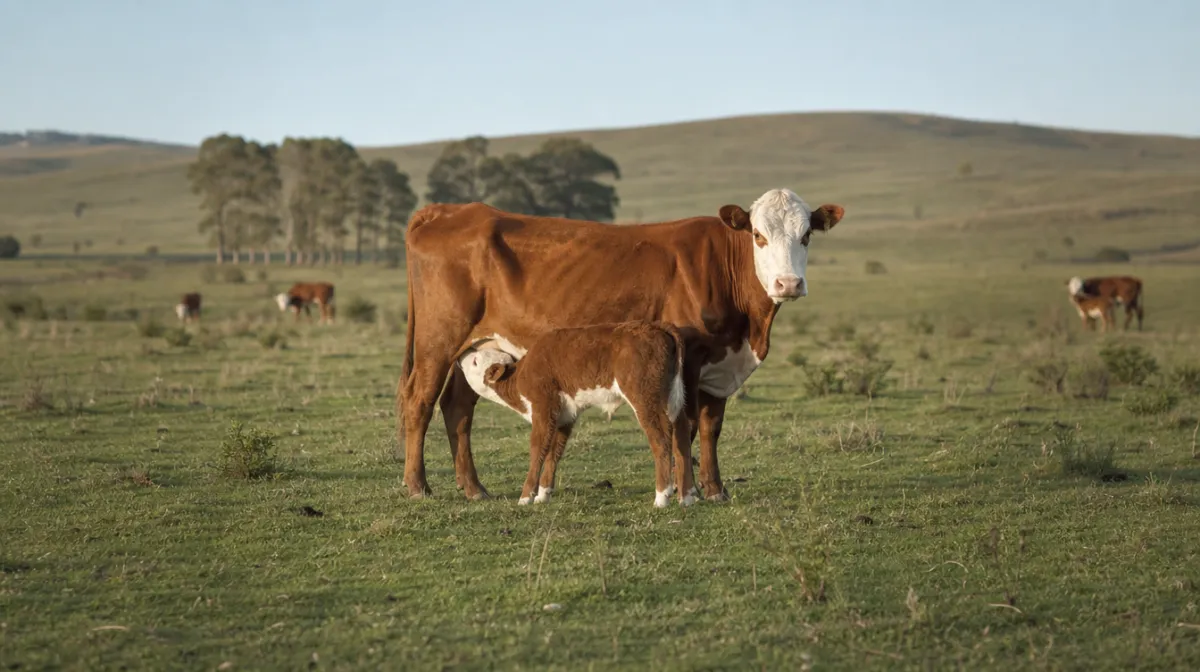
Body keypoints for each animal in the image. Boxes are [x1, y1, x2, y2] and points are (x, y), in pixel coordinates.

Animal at [458, 321, 694, 508]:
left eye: (476, 361)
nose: (462, 356)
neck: (519, 377)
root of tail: (657, 326)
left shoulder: (543, 407)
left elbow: (538, 449)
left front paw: (526, 497)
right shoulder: (565, 415)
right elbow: (554, 451)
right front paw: (543, 495)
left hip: (643, 398)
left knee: (660, 440)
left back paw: (662, 497)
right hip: (671, 397)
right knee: (680, 434)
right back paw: (687, 497)